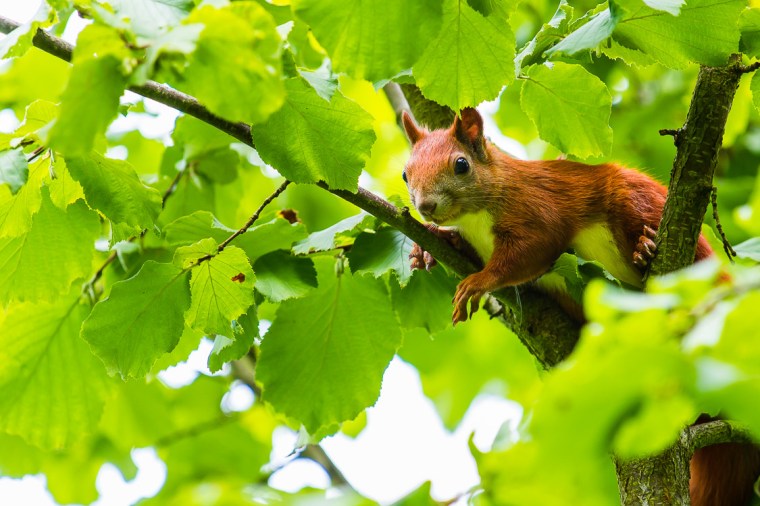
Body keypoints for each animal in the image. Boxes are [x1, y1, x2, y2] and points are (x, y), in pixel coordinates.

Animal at [401, 107, 760, 506]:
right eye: (405, 173)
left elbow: (527, 253)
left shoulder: (537, 210)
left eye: (461, 165)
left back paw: (646, 249)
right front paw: (425, 249)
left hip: (638, 203)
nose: (425, 206)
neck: (478, 216)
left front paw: (476, 283)